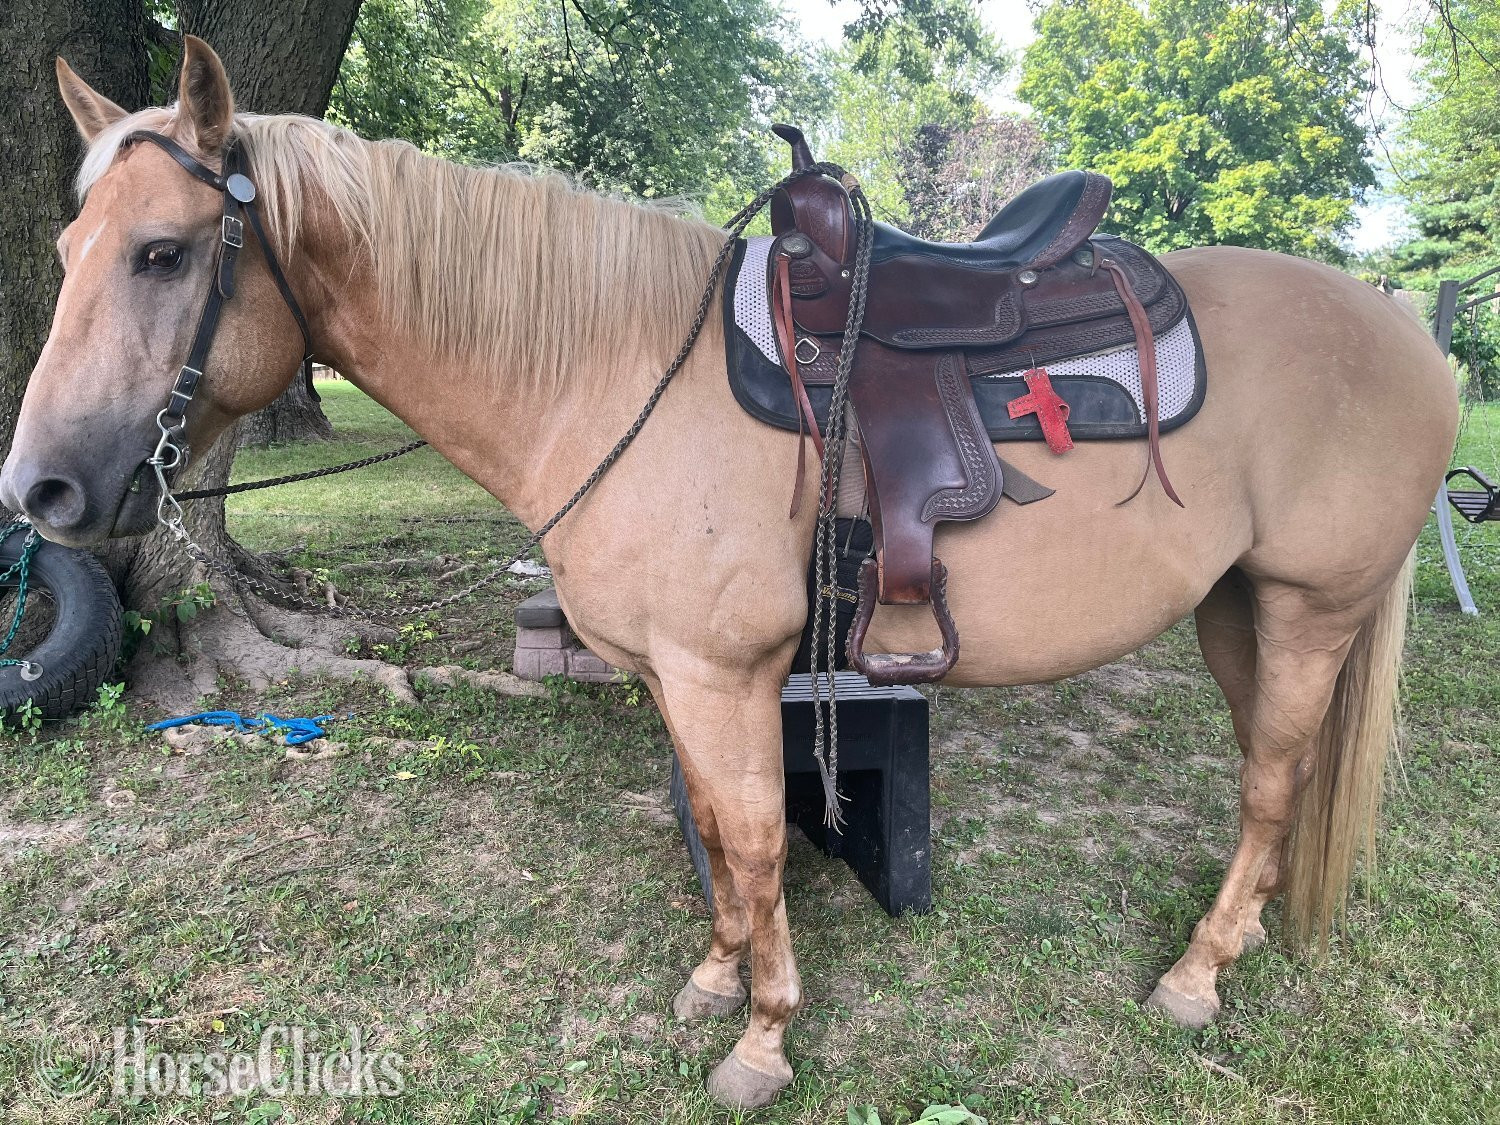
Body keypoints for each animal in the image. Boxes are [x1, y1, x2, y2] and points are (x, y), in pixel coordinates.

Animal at [1, 37, 1458, 1110]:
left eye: (163, 253)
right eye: (69, 253)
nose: (40, 493)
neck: (608, 372)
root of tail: (1407, 326)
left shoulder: (724, 670)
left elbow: (754, 839)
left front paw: (763, 1038)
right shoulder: (675, 676)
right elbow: (712, 825)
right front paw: (717, 977)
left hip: (1311, 607)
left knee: (1272, 782)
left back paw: (1199, 976)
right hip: (1236, 609)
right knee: (1281, 777)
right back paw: (1245, 934)